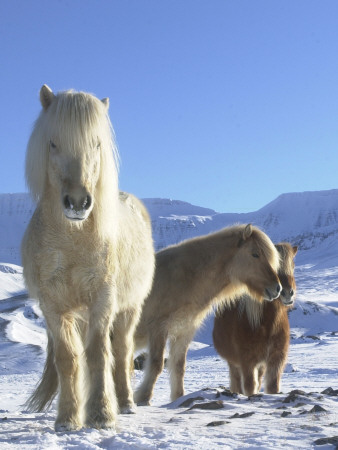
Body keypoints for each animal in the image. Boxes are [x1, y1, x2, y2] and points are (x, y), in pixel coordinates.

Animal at [22, 85, 156, 432]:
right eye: (53, 142)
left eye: (96, 143)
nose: (78, 203)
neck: (72, 239)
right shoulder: (54, 308)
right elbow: (69, 358)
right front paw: (68, 419)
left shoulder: (102, 301)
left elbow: (98, 354)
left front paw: (102, 416)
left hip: (128, 310)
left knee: (122, 352)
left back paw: (125, 403)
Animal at [133, 225, 282, 404]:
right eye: (255, 254)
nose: (277, 288)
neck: (184, 278)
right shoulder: (158, 328)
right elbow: (156, 364)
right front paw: (143, 398)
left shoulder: (184, 332)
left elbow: (178, 367)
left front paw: (178, 398)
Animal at [214, 244, 296, 396]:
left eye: (292, 265)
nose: (287, 293)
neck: (268, 325)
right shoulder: (247, 362)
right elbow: (249, 387)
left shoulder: (276, 359)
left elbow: (272, 387)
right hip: (234, 363)